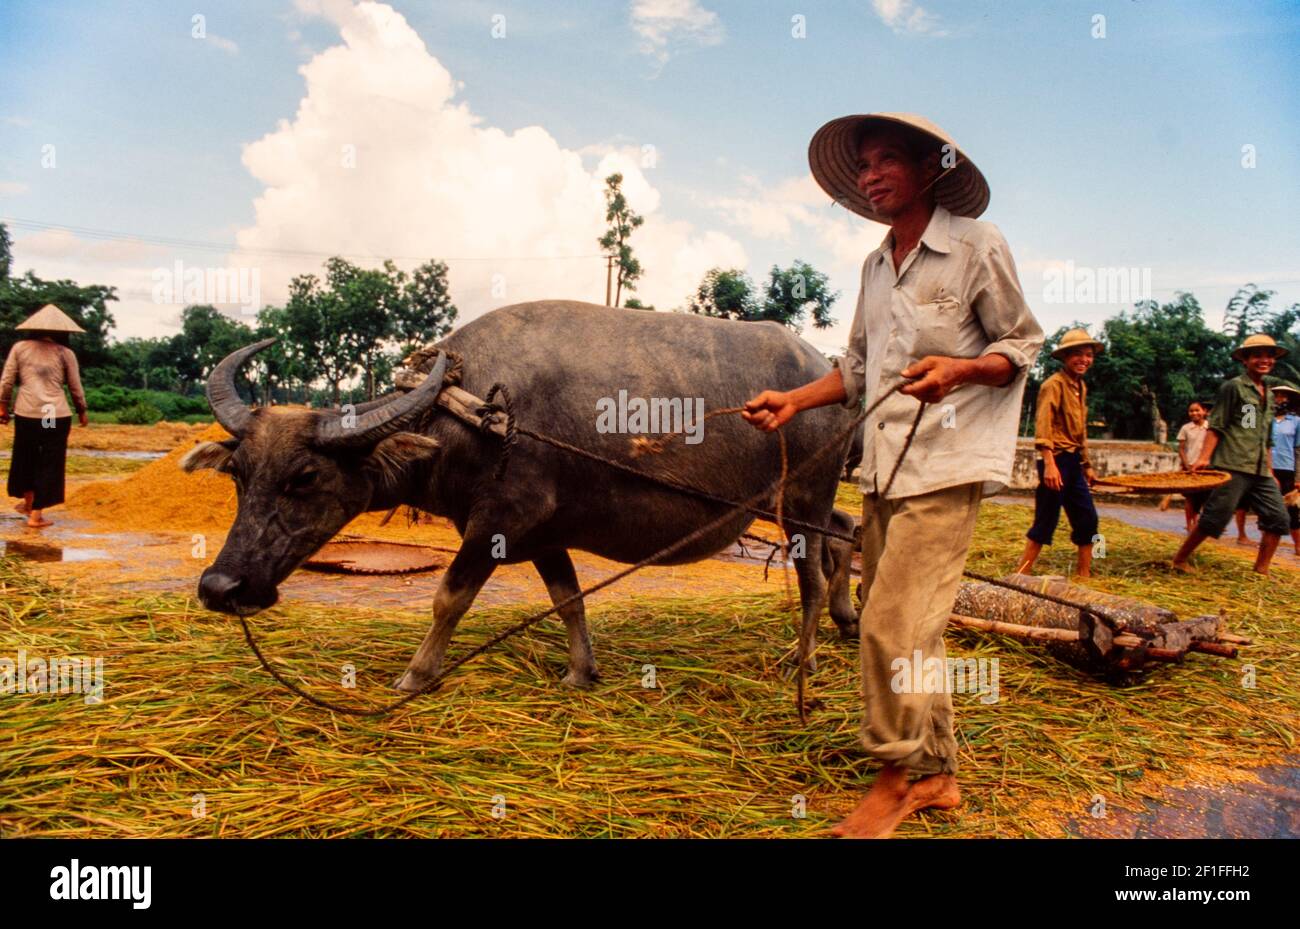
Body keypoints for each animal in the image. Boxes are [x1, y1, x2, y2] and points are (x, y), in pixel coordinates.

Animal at [178, 297, 857, 691]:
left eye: (306, 477)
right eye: (239, 475)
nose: (220, 587)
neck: (470, 412)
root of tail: (829, 375)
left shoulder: (499, 523)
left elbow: (448, 598)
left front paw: (415, 675)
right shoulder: (543, 535)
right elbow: (569, 600)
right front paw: (581, 672)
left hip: (803, 503)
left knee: (814, 575)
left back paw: (805, 657)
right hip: (805, 504)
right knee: (847, 532)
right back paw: (846, 621)